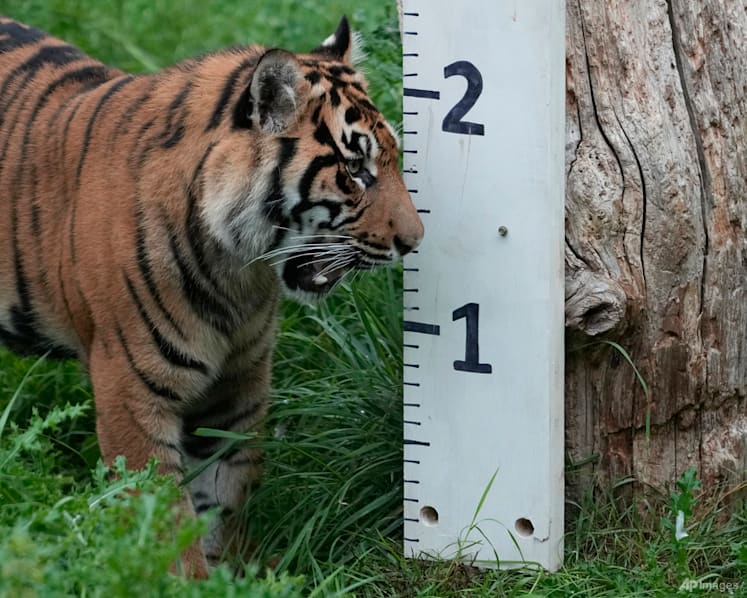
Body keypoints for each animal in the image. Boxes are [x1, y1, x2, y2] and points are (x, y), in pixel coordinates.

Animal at [0, 15, 423, 577]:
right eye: (355, 170)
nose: (416, 241)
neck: (236, 273)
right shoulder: (130, 393)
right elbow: (165, 519)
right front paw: (184, 581)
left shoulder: (236, 387)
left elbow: (226, 496)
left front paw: (237, 576)